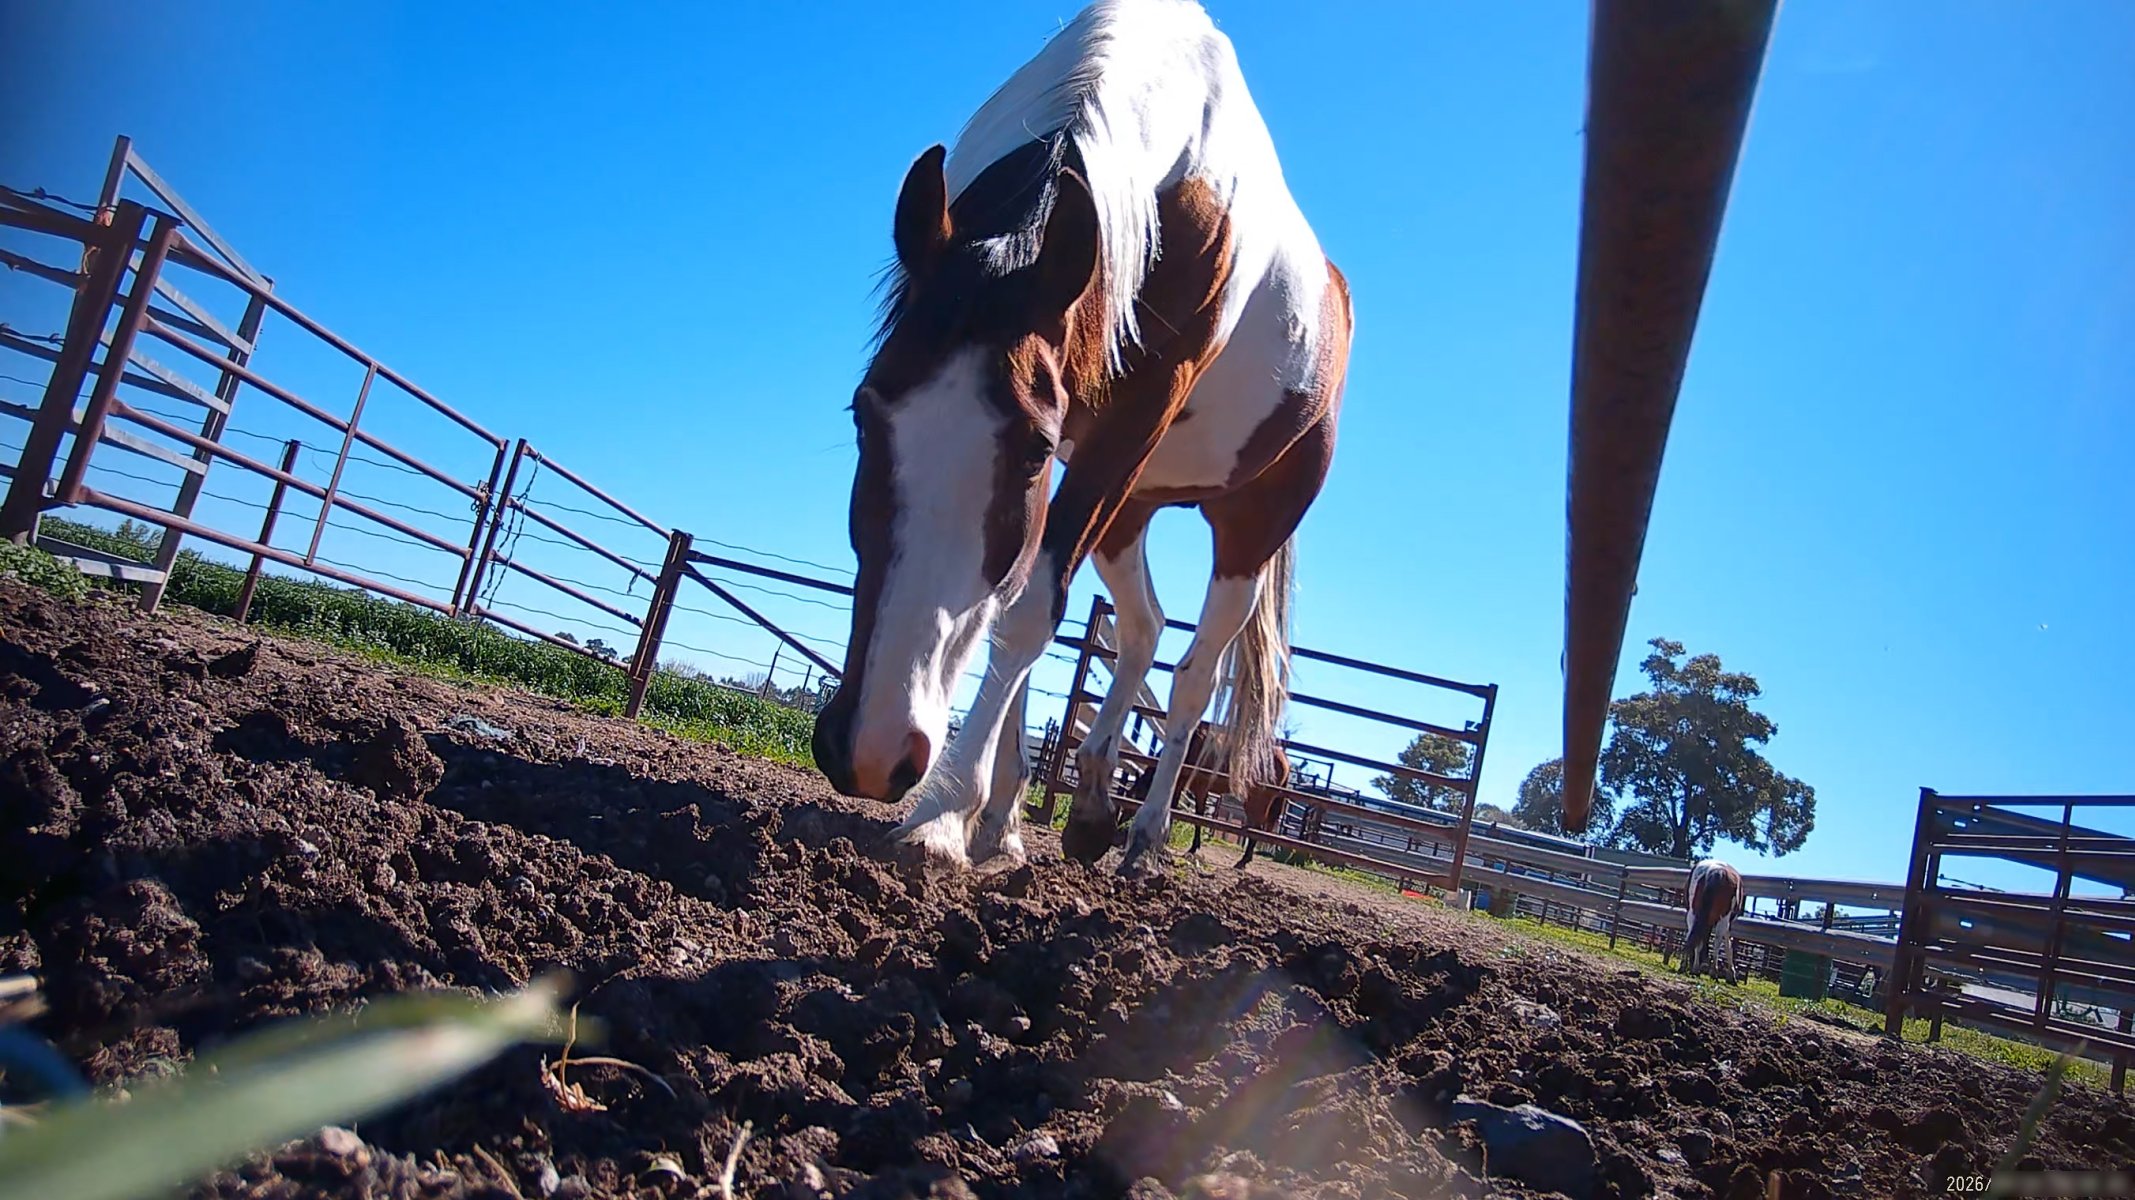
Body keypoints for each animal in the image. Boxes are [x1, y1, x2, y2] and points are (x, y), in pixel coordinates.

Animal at [1119, 720, 1294, 869]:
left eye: (1135, 797)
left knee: (1256, 829)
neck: (1190, 747)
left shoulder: (1199, 789)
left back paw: (1243, 861)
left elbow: (1197, 816)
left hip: (1257, 801)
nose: (1120, 824)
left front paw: (1189, 848)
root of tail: (1283, 758)